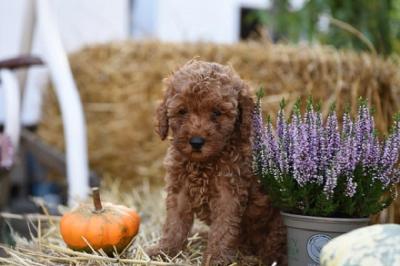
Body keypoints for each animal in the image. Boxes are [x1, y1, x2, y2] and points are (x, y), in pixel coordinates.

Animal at [148, 60, 286, 266]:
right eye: (182, 111)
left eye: (216, 112)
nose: (196, 142)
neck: (203, 164)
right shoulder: (179, 189)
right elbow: (174, 223)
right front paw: (164, 251)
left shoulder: (228, 192)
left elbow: (223, 229)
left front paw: (216, 258)